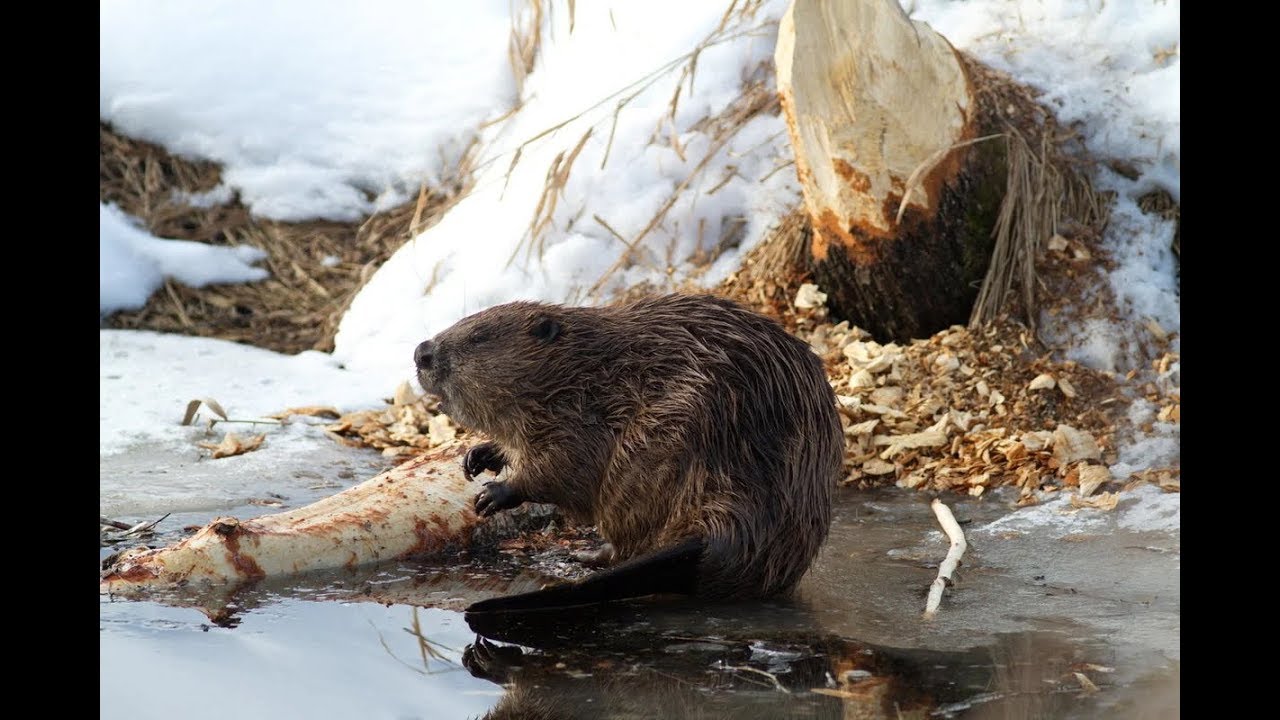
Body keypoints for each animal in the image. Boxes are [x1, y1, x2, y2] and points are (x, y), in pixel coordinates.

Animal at [414, 289, 844, 604]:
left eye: (479, 336)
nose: (422, 352)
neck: (584, 368)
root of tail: (722, 536)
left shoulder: (586, 412)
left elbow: (563, 467)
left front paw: (492, 494)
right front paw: (478, 457)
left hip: (656, 454)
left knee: (629, 539)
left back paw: (587, 554)